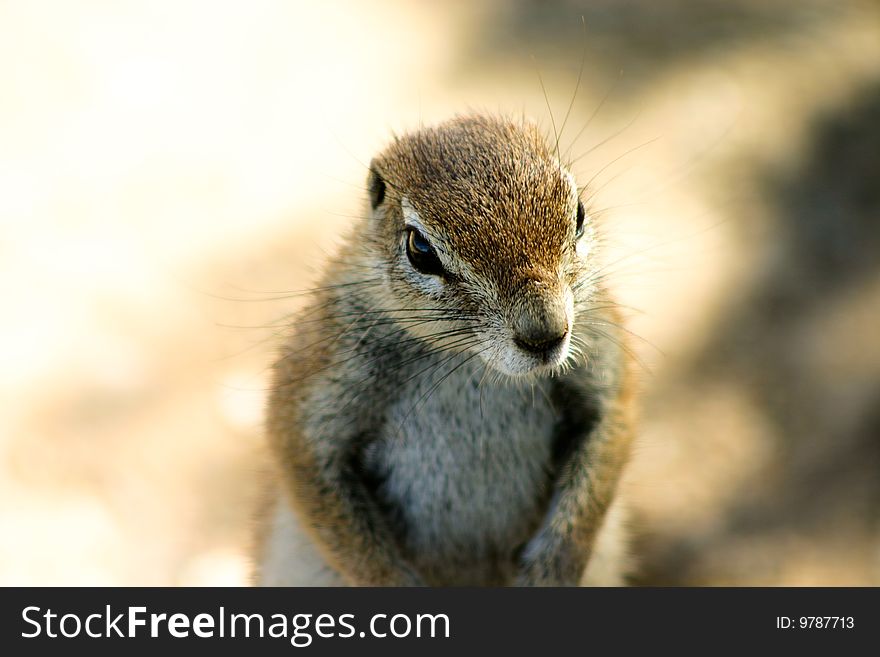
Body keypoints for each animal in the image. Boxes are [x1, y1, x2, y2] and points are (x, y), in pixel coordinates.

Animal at [258, 113, 636, 584]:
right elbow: (308, 466)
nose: (547, 334)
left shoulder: (601, 352)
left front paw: (552, 569)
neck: (473, 364)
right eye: (420, 249)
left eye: (579, 213)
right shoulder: (320, 375)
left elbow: (607, 438)